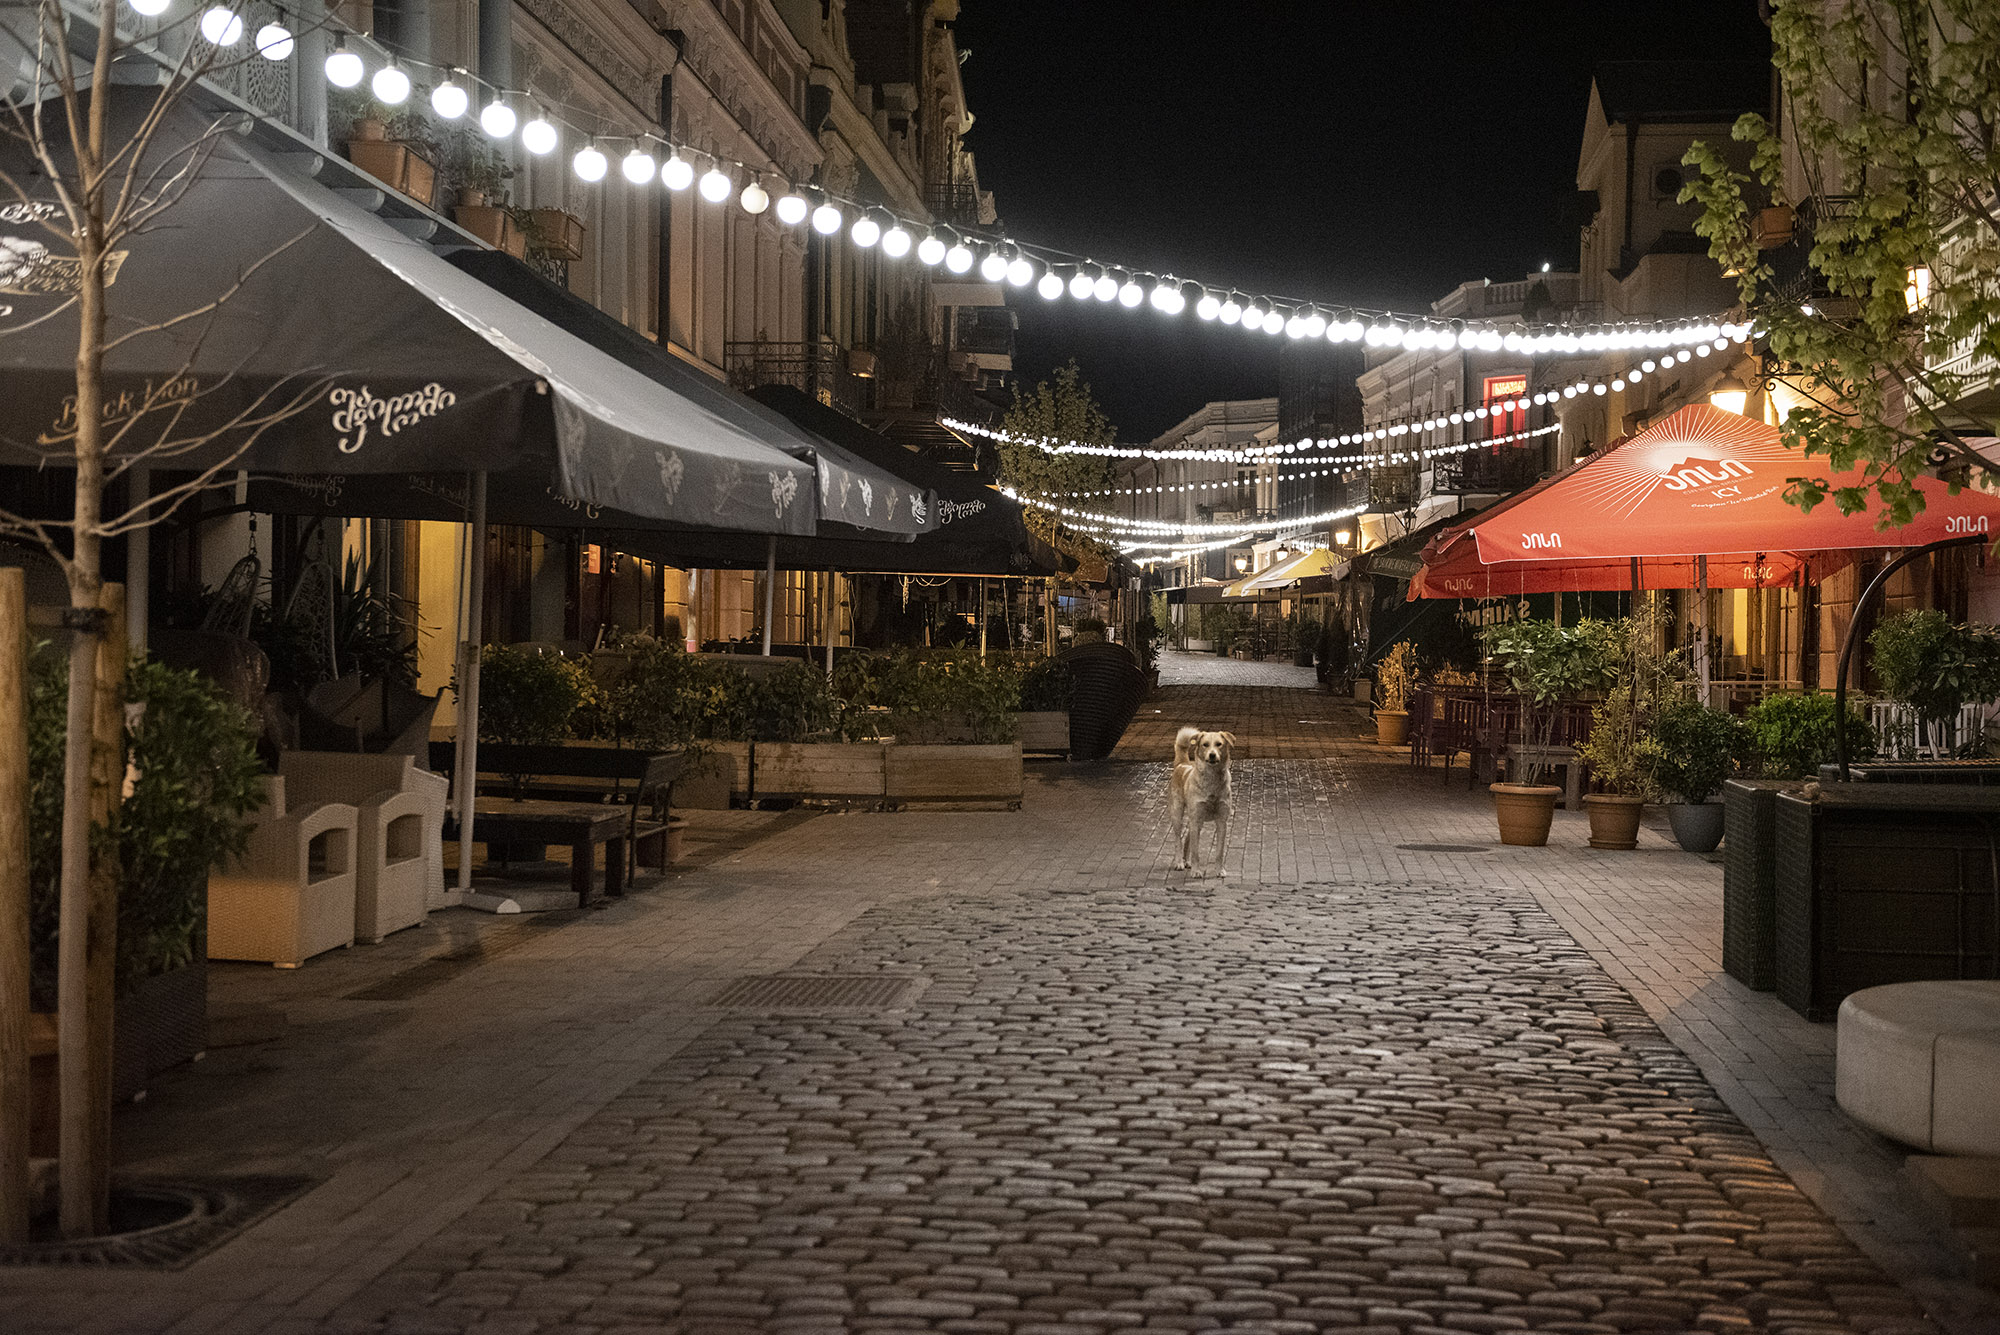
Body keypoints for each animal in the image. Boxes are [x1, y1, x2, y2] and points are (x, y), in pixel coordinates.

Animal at [1168, 731, 1232, 875]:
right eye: (1205, 744)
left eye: (1219, 744)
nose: (1212, 755)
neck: (1212, 780)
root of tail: (1183, 763)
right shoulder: (1195, 819)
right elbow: (1195, 851)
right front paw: (1196, 871)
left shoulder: (1221, 821)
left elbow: (1219, 852)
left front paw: (1220, 870)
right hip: (1177, 814)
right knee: (1178, 840)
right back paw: (1179, 862)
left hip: (1197, 821)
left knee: (1187, 839)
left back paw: (1187, 862)